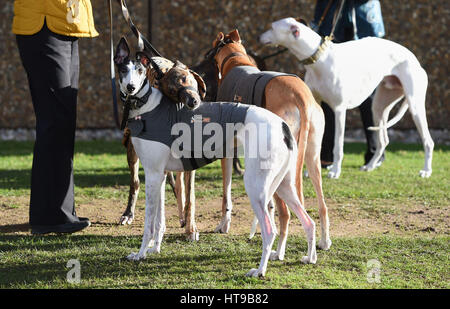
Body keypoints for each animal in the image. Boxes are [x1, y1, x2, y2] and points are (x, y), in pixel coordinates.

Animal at [114, 38, 316, 276]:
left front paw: (141, 254)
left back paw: (260, 270)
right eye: (123, 70)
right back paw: (310, 258)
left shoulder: (153, 175)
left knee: (269, 230)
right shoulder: (161, 175)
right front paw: (155, 249)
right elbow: (159, 220)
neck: (148, 107)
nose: (130, 88)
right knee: (308, 221)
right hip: (284, 185)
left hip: (256, 186)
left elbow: (149, 223)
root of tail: (282, 125)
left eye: (140, 70)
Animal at [258, 17, 434, 178]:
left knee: (428, 141)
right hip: (379, 107)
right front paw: (310, 171)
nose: (259, 37)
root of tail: (413, 57)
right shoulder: (317, 106)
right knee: (383, 140)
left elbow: (338, 145)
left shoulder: (339, 110)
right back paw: (370, 166)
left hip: (415, 107)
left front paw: (335, 171)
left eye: (272, 27)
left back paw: (426, 170)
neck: (320, 59)